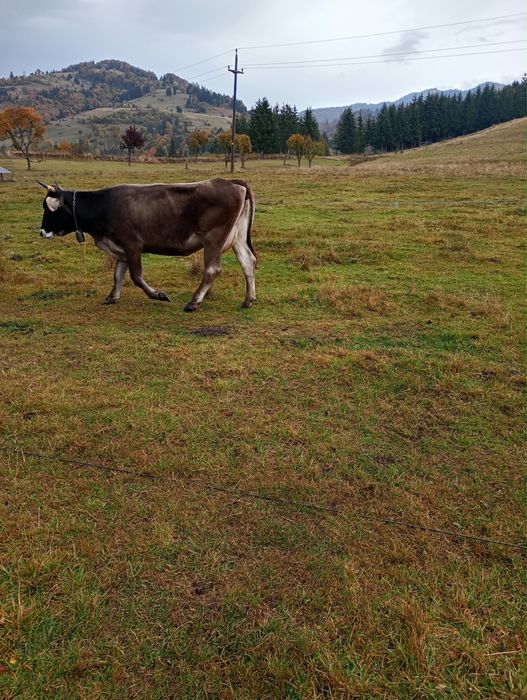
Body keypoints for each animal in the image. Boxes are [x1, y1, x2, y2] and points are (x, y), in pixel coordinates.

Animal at [38, 178, 256, 311]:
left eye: (51, 209)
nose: (42, 231)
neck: (104, 206)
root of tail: (230, 182)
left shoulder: (133, 244)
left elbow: (136, 277)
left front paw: (157, 294)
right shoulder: (121, 250)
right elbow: (118, 275)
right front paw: (112, 297)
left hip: (213, 238)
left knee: (212, 269)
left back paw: (194, 301)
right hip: (237, 237)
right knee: (248, 262)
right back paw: (248, 299)